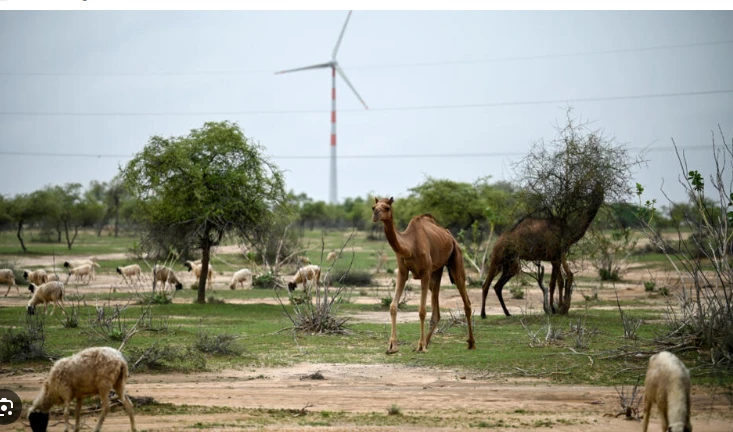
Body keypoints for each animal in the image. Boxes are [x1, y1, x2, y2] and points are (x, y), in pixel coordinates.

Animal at [372, 197, 474, 352]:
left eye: (387, 207)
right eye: (374, 207)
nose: (375, 214)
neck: (409, 246)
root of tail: (451, 237)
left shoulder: (425, 272)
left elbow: (421, 311)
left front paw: (420, 345)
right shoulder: (402, 271)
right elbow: (393, 306)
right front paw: (393, 346)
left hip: (456, 258)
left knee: (465, 300)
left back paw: (471, 343)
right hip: (437, 271)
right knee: (436, 309)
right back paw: (427, 341)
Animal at [480, 186, 600, 318]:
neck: (568, 232)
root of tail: (497, 242)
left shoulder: (556, 258)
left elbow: (556, 282)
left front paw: (556, 308)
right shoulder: (555, 257)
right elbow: (556, 283)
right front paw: (556, 308)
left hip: (511, 264)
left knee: (497, 286)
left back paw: (507, 313)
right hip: (497, 259)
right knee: (486, 284)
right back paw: (483, 314)